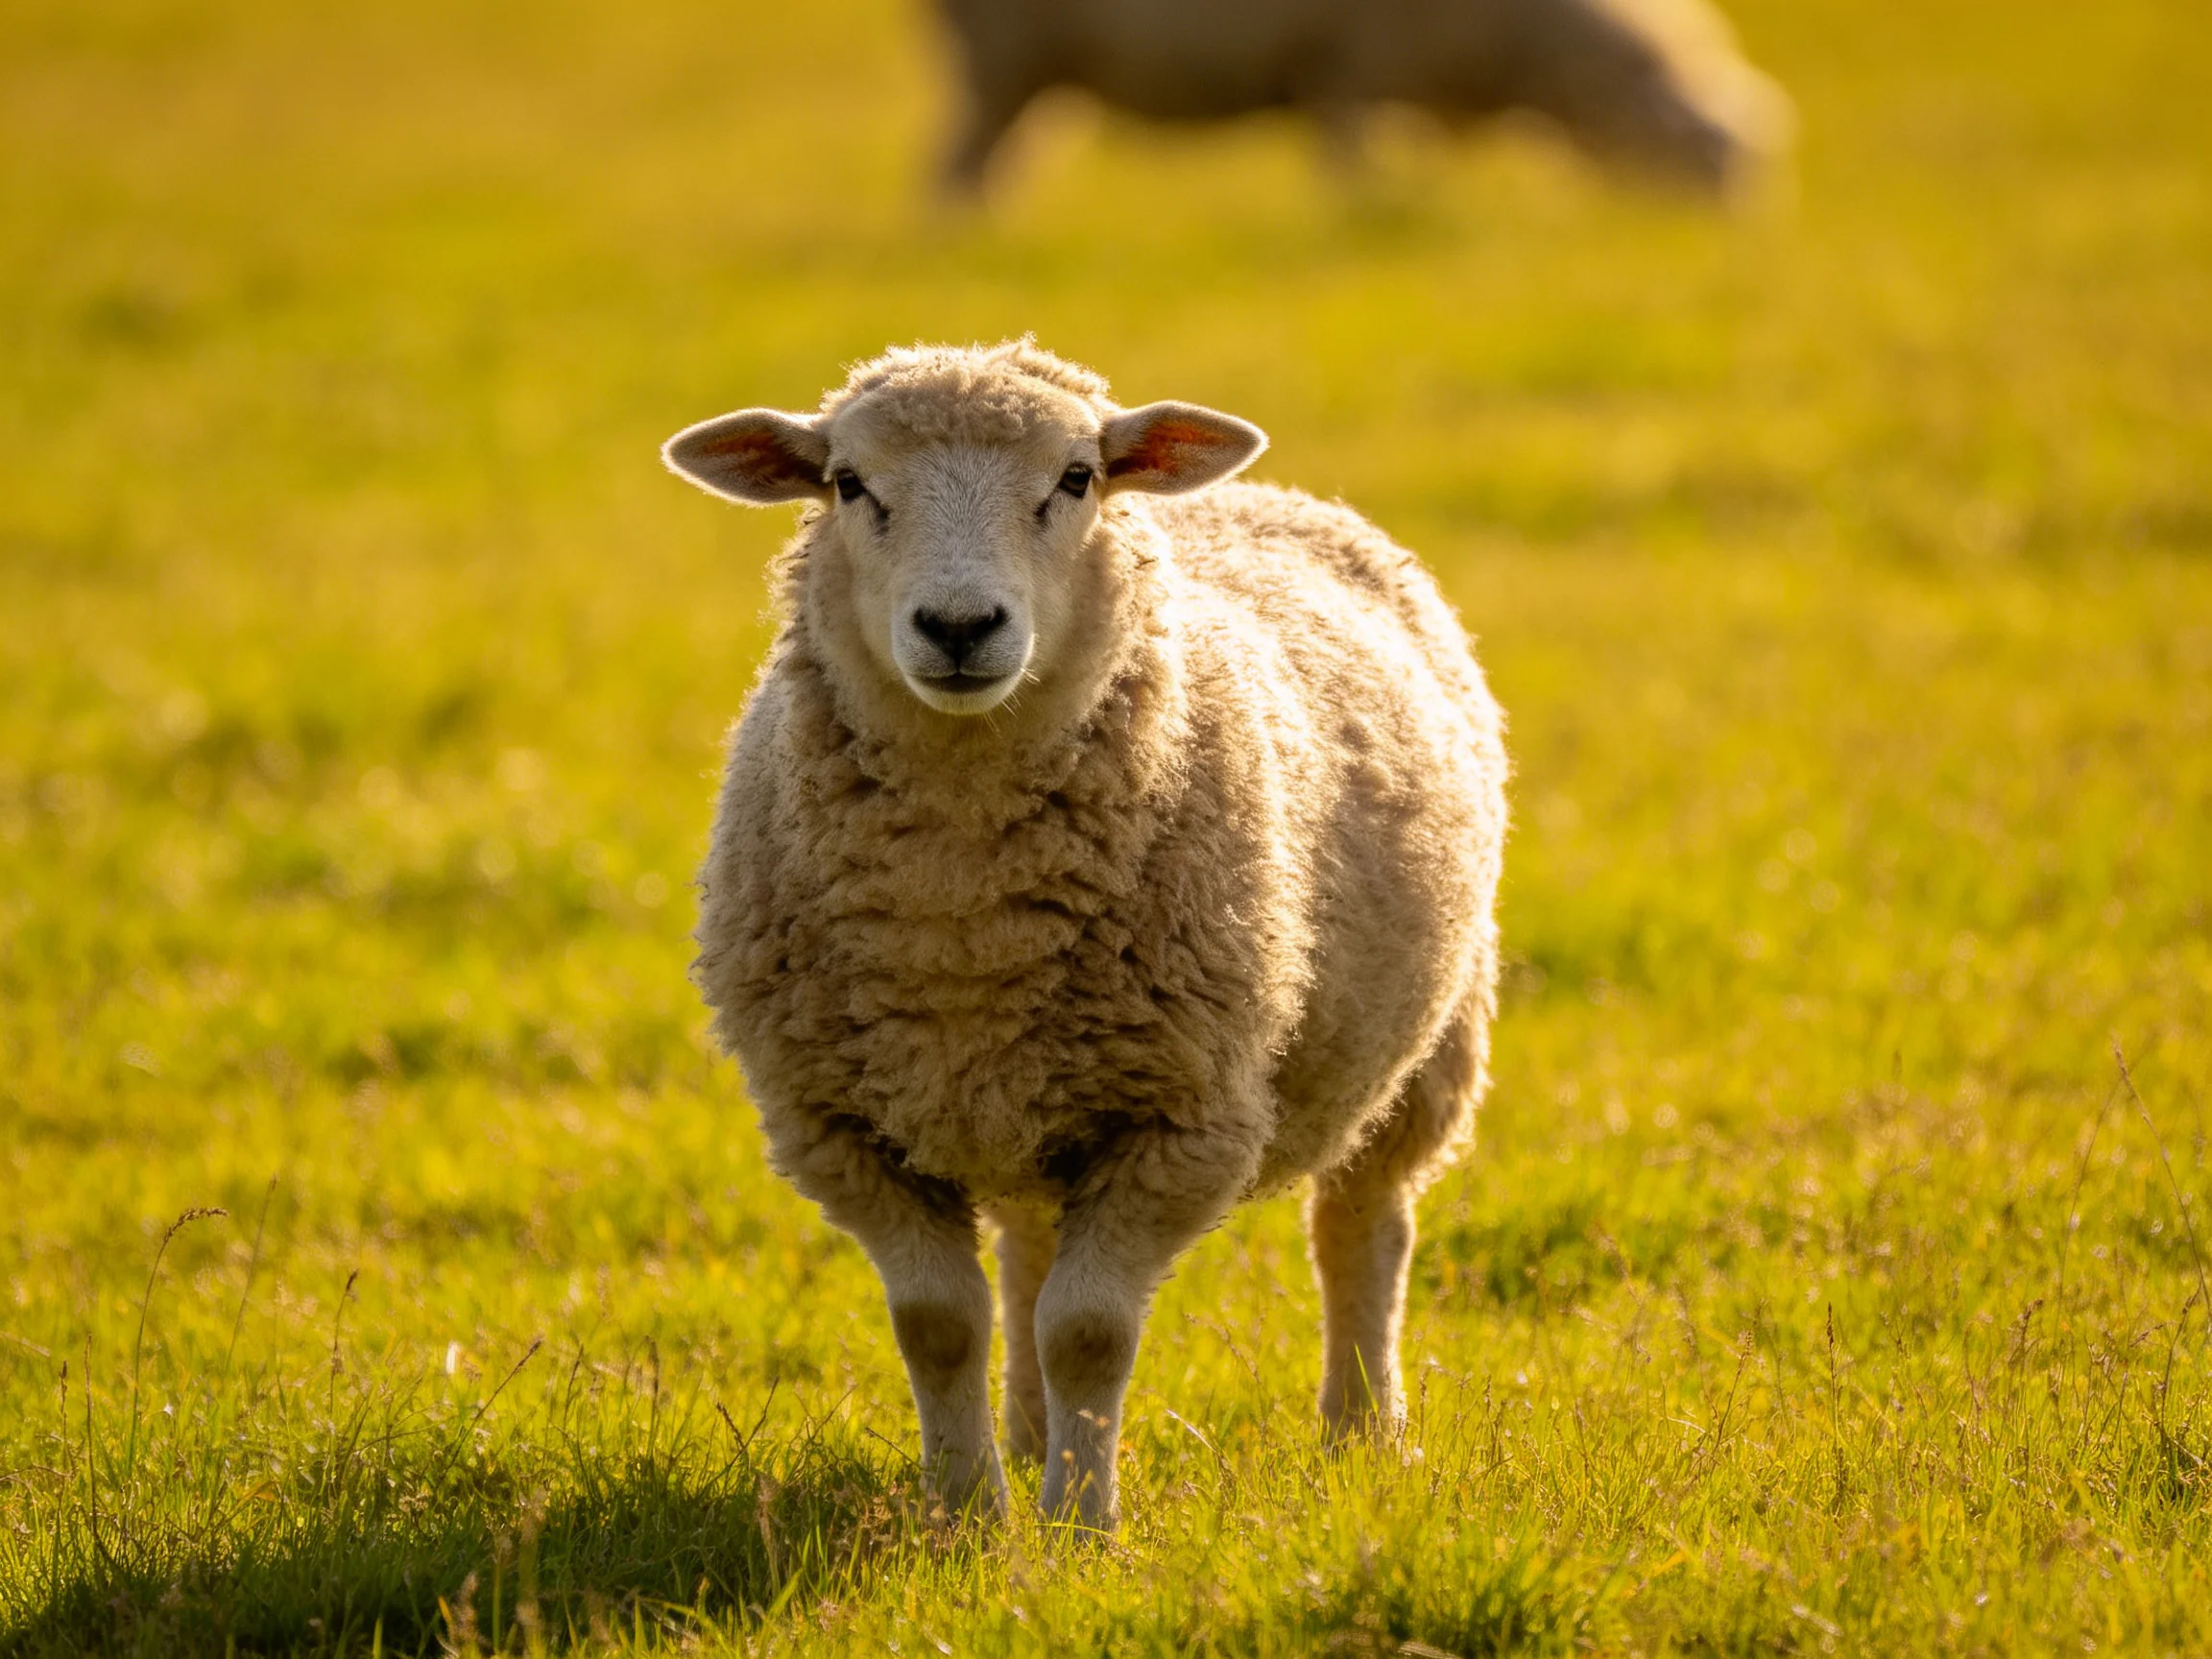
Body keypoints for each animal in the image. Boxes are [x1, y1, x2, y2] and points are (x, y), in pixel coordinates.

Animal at [663, 340, 1508, 1529]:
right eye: (848, 484)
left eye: (1075, 479)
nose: (960, 628)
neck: (961, 916)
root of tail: (1268, 495)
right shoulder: (841, 1125)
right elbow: (942, 1327)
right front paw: (967, 1517)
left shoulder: (1178, 1119)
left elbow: (1089, 1332)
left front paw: (1080, 1526)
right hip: (1023, 1101)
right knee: (1029, 1248)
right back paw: (1025, 1439)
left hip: (1429, 1039)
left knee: (1363, 1229)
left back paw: (1361, 1435)